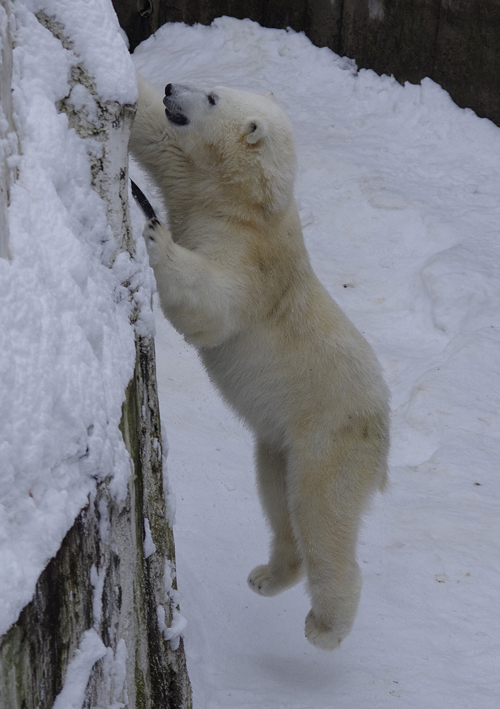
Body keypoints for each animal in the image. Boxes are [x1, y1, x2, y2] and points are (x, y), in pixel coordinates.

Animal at [129, 76, 390, 648]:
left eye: (211, 98)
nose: (172, 86)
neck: (250, 203)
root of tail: (383, 431)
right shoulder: (195, 183)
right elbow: (154, 135)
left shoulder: (253, 257)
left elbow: (215, 306)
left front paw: (157, 235)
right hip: (280, 437)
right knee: (276, 496)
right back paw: (267, 576)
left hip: (330, 437)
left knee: (321, 515)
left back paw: (324, 627)